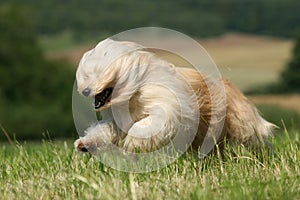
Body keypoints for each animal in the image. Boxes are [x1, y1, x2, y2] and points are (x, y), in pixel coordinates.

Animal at [74, 38, 276, 155]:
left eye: (99, 74)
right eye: (86, 75)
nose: (85, 91)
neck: (133, 94)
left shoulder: (166, 106)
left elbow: (151, 123)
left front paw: (132, 143)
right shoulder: (118, 121)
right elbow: (107, 130)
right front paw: (84, 143)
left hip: (239, 124)